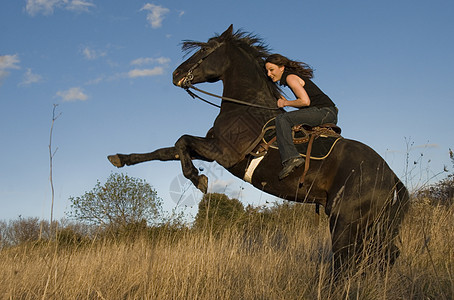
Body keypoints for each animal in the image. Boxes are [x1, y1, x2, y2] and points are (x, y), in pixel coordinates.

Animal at [108, 25, 410, 274]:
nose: (176, 74)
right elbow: (165, 151)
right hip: (371, 224)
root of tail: (391, 175)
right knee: (382, 256)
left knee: (348, 261)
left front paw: (198, 179)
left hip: (346, 221)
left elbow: (182, 141)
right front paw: (120, 159)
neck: (244, 107)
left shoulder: (224, 153)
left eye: (204, 49)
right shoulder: (211, 148)